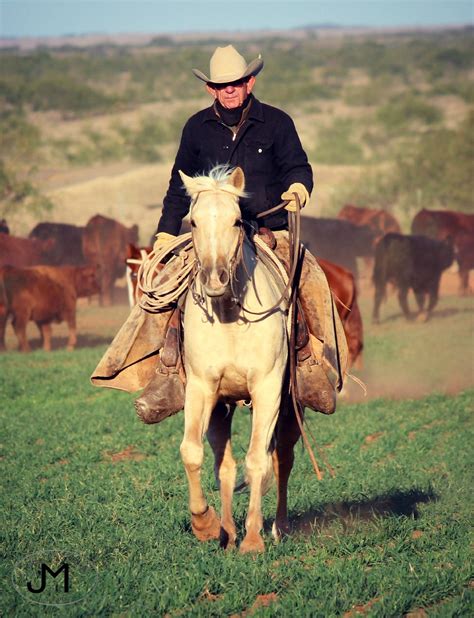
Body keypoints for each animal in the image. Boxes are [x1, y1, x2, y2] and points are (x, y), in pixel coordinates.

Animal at [178, 165, 300, 552]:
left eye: (235, 220)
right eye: (193, 222)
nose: (215, 278)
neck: (230, 315)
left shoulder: (268, 390)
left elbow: (259, 460)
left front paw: (253, 538)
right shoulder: (201, 388)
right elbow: (192, 451)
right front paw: (205, 524)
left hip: (290, 407)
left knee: (282, 458)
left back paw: (277, 527)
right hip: (221, 408)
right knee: (225, 466)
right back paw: (228, 533)